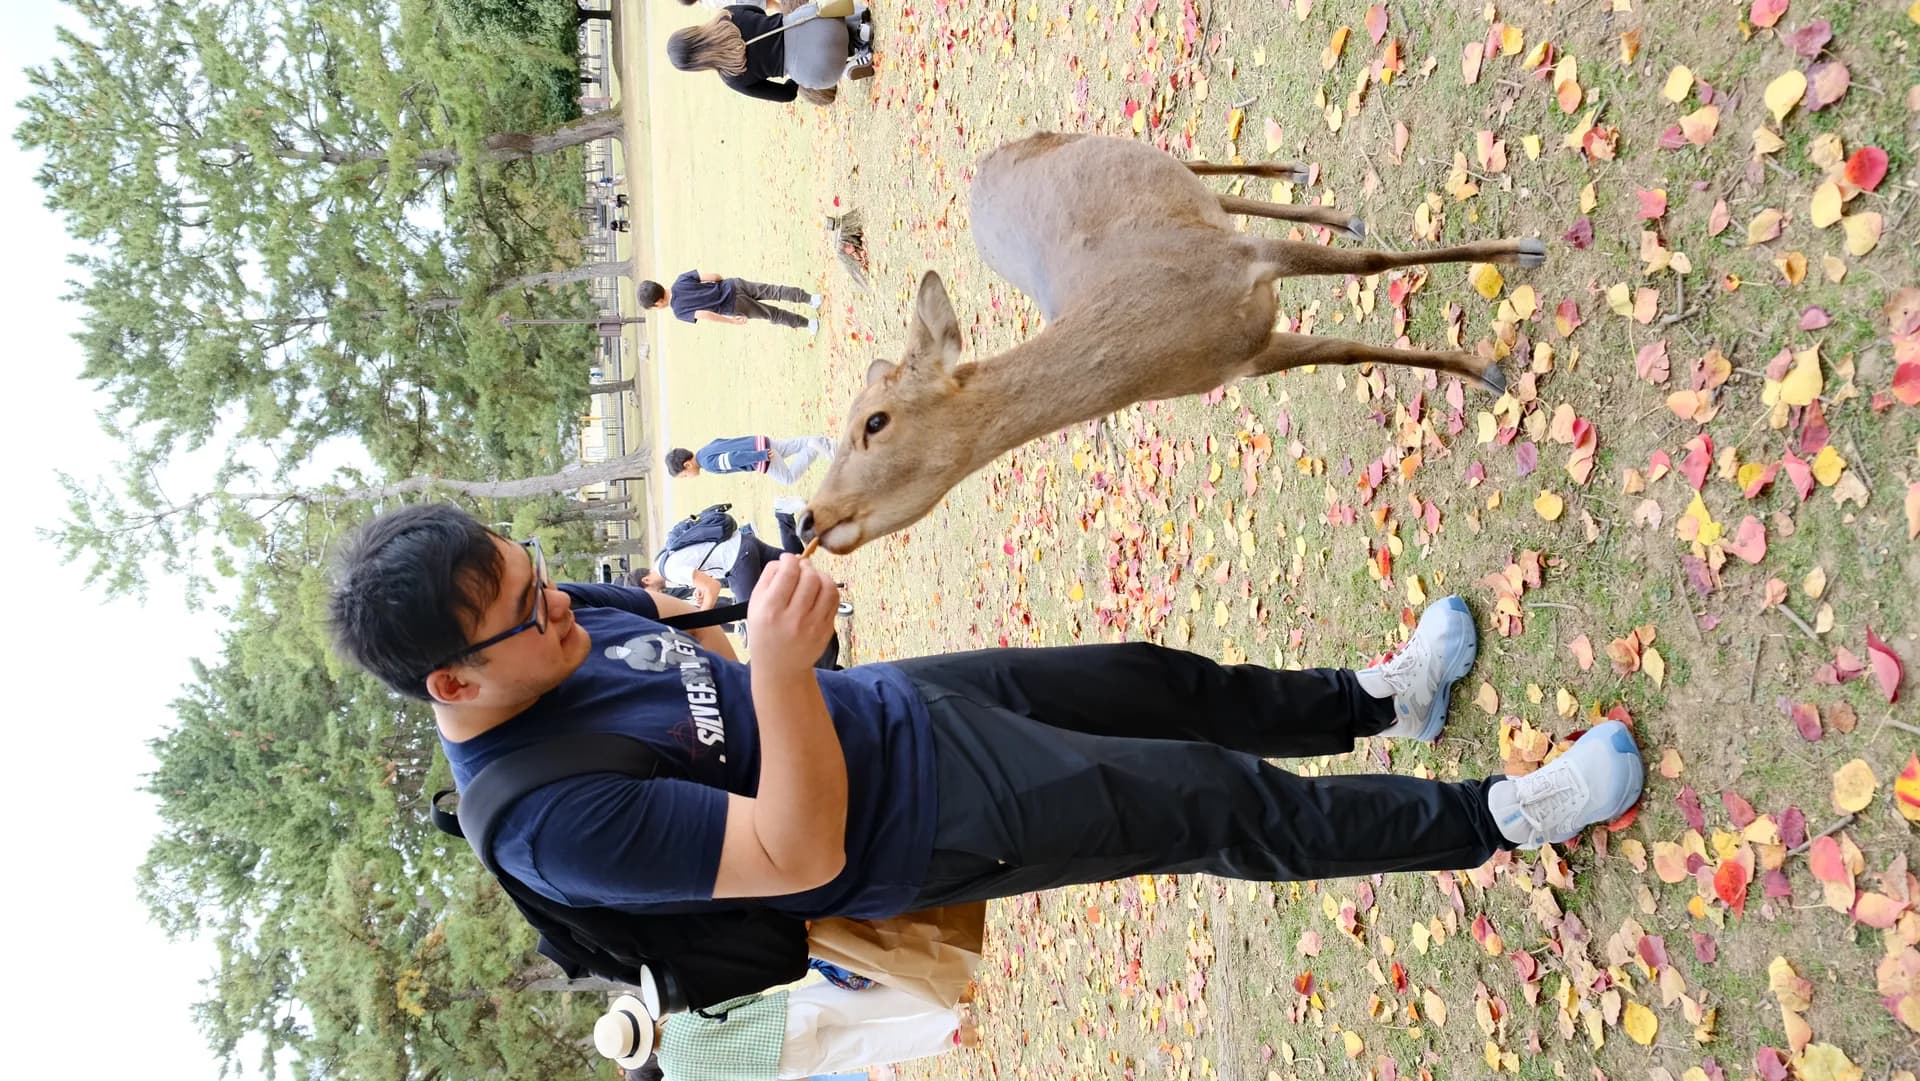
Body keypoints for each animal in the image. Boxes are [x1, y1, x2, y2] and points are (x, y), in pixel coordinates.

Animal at [798, 132, 1547, 554]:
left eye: (873, 421)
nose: (808, 519)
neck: (1160, 334)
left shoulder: (1244, 261)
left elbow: (1373, 266)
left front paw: (1517, 255)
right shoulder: (1246, 356)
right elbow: (1346, 352)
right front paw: (1483, 369)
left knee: (1202, 161)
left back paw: (1307, 181)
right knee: (1214, 191)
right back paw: (1326, 203)